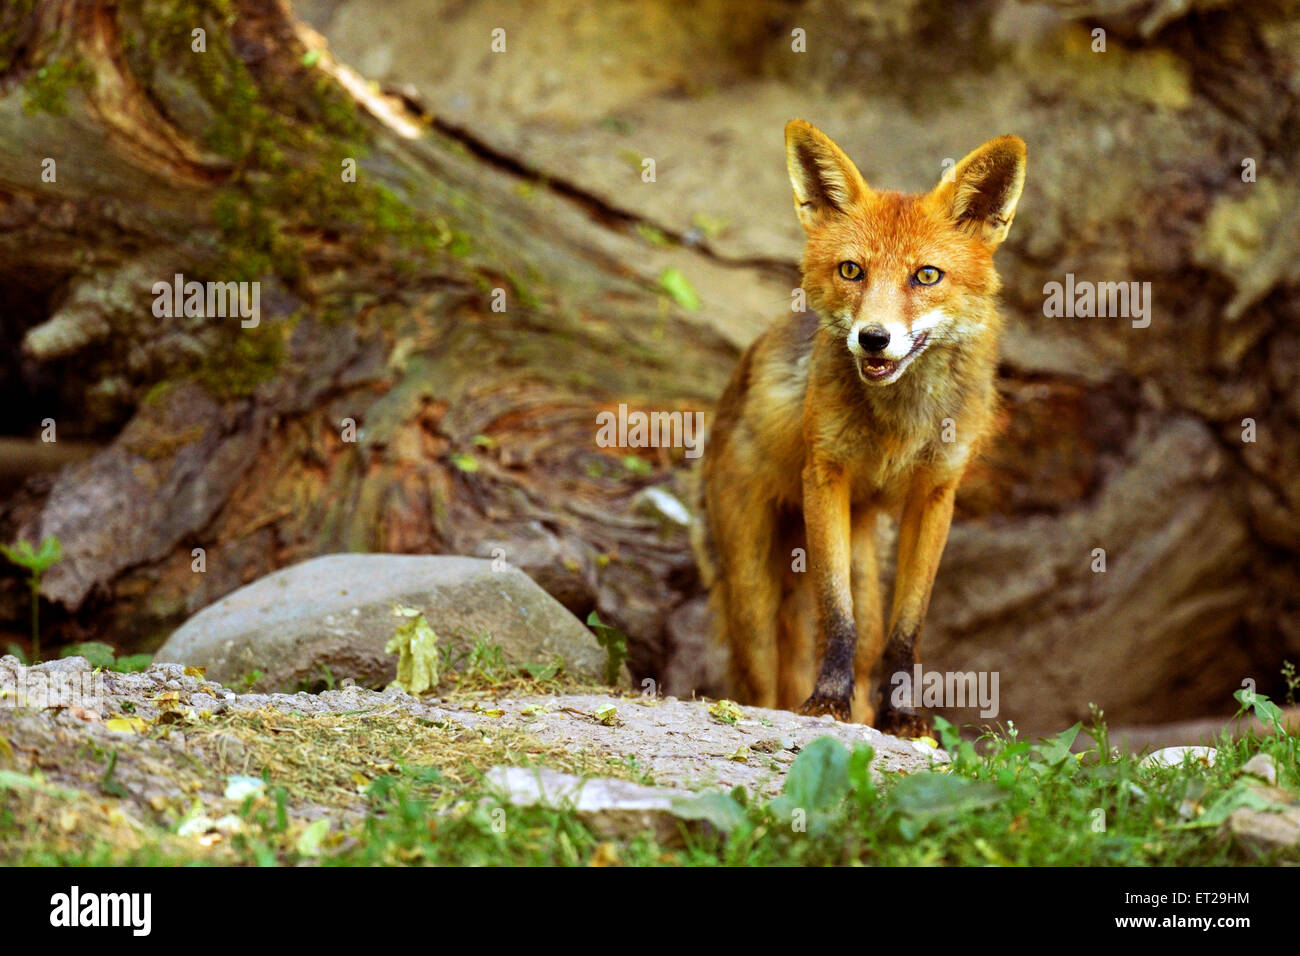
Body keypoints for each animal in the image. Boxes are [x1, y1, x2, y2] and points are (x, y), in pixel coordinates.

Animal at [691, 119, 1024, 733]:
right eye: (852, 270)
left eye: (926, 275)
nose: (873, 338)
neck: (900, 425)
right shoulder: (826, 476)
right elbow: (834, 613)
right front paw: (826, 701)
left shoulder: (936, 493)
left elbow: (908, 626)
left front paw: (904, 717)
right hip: (752, 595)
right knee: (763, 676)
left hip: (866, 559)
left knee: (868, 645)